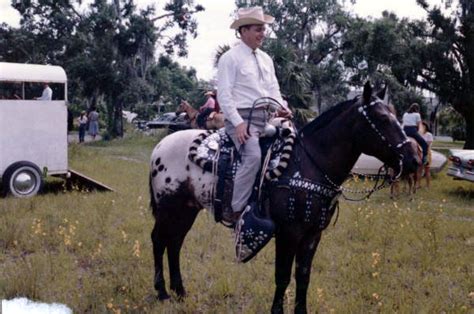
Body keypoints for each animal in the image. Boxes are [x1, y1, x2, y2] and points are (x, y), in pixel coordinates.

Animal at [149, 83, 418, 314]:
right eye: (383, 119)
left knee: (175, 243)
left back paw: (180, 292)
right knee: (159, 240)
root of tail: (161, 146)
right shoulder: (289, 232)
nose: (413, 158)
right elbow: (283, 275)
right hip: (168, 208)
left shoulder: (313, 234)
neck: (308, 163)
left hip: (186, 209)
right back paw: (162, 292)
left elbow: (303, 275)